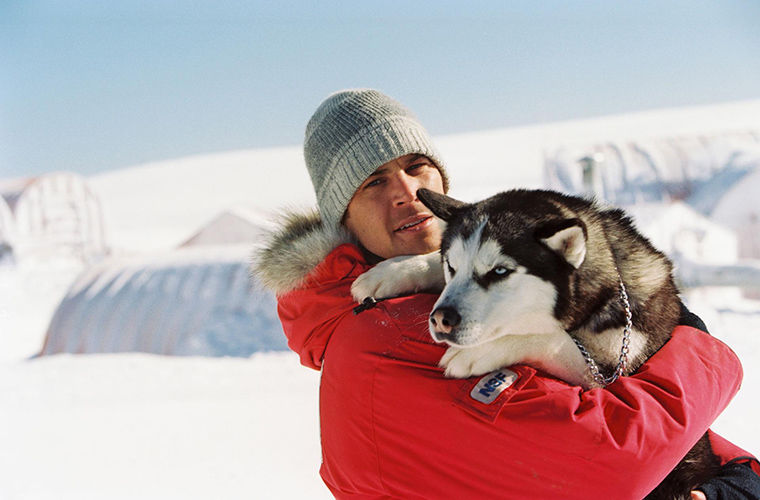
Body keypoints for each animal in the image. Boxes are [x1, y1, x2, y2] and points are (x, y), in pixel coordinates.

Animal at [350, 188, 720, 500]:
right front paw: (394, 270)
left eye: (500, 271)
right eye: (451, 267)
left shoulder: (610, 370)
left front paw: (479, 351)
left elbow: (547, 335)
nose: (441, 318)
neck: (607, 283)